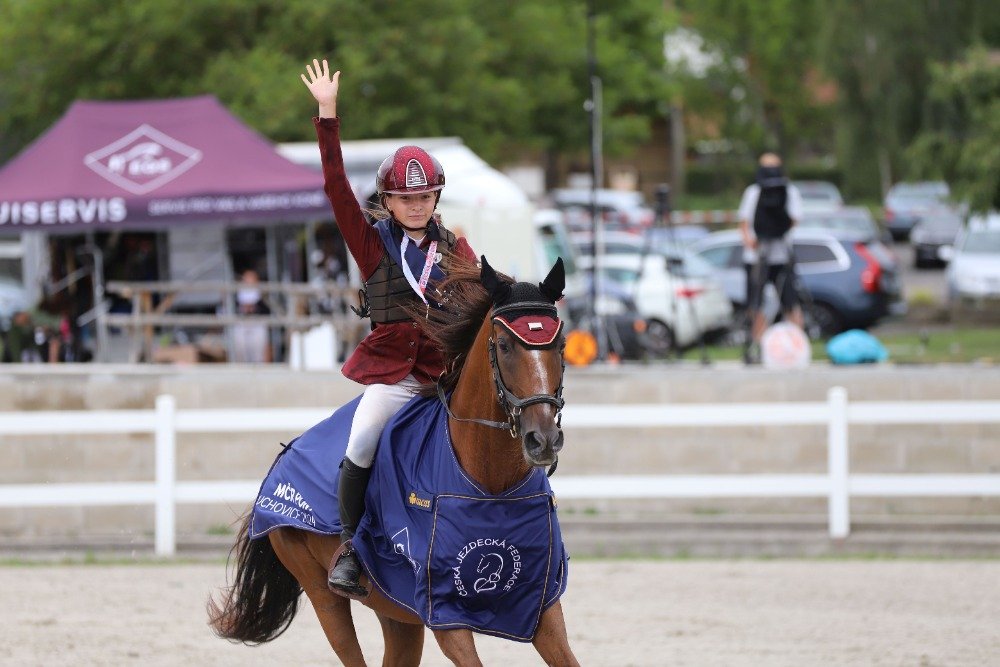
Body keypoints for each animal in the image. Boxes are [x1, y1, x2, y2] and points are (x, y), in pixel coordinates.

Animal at [208, 258, 584, 667]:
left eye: (561, 345)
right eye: (504, 345)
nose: (542, 439)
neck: (490, 480)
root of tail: (285, 453)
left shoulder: (541, 602)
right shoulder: (444, 614)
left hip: (395, 610)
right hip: (322, 592)